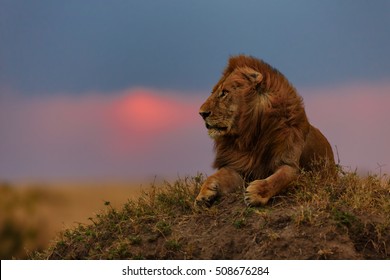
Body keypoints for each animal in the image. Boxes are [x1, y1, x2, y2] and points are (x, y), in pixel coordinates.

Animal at [195, 55, 336, 208]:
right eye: (213, 92)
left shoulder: (290, 164)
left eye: (224, 93)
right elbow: (216, 176)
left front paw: (256, 193)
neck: (250, 135)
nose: (201, 113)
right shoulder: (239, 166)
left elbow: (280, 178)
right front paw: (203, 194)